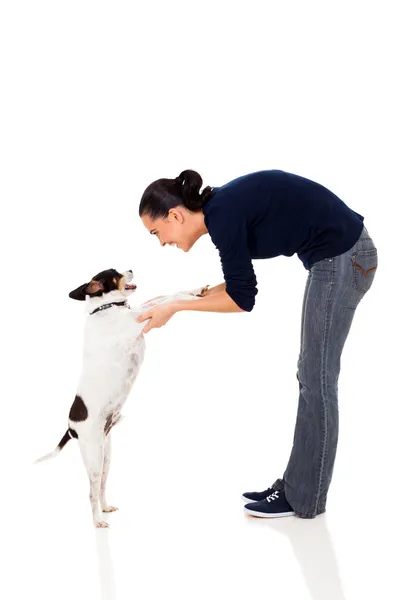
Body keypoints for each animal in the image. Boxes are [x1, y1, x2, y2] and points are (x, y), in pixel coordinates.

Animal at [34, 270, 208, 528]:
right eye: (115, 274)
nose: (130, 269)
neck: (107, 307)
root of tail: (71, 427)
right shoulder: (138, 319)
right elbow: (170, 298)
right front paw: (189, 297)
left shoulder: (143, 309)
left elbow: (166, 295)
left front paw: (196, 290)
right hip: (94, 457)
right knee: (91, 491)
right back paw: (98, 521)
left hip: (106, 455)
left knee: (102, 487)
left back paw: (106, 508)